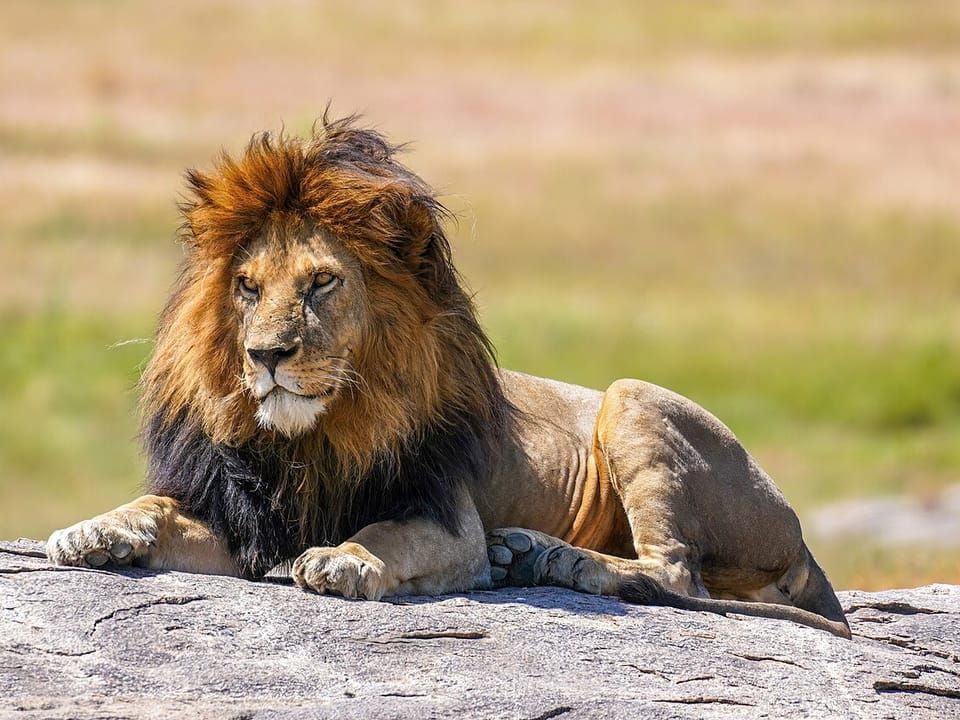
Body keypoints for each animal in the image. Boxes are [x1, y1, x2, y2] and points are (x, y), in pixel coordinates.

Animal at [46, 116, 850, 638]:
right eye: (247, 287)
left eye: (321, 283)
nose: (265, 355)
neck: (315, 438)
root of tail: (800, 534)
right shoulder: (243, 522)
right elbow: (154, 506)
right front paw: (95, 530)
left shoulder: (448, 520)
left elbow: (385, 534)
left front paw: (345, 558)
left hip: (631, 399)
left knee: (675, 574)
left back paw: (543, 556)